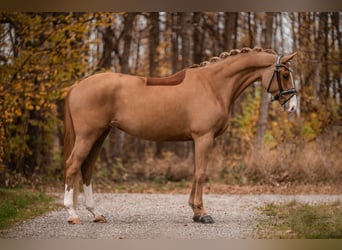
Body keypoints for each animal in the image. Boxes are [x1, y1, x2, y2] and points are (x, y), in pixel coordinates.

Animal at [63, 47, 296, 224]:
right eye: (285, 75)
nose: (292, 106)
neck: (212, 85)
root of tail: (76, 86)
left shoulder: (197, 140)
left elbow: (195, 172)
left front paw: (195, 212)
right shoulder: (204, 138)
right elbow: (201, 173)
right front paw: (203, 214)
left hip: (100, 134)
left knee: (87, 168)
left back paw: (96, 213)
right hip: (88, 135)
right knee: (73, 165)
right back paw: (72, 214)